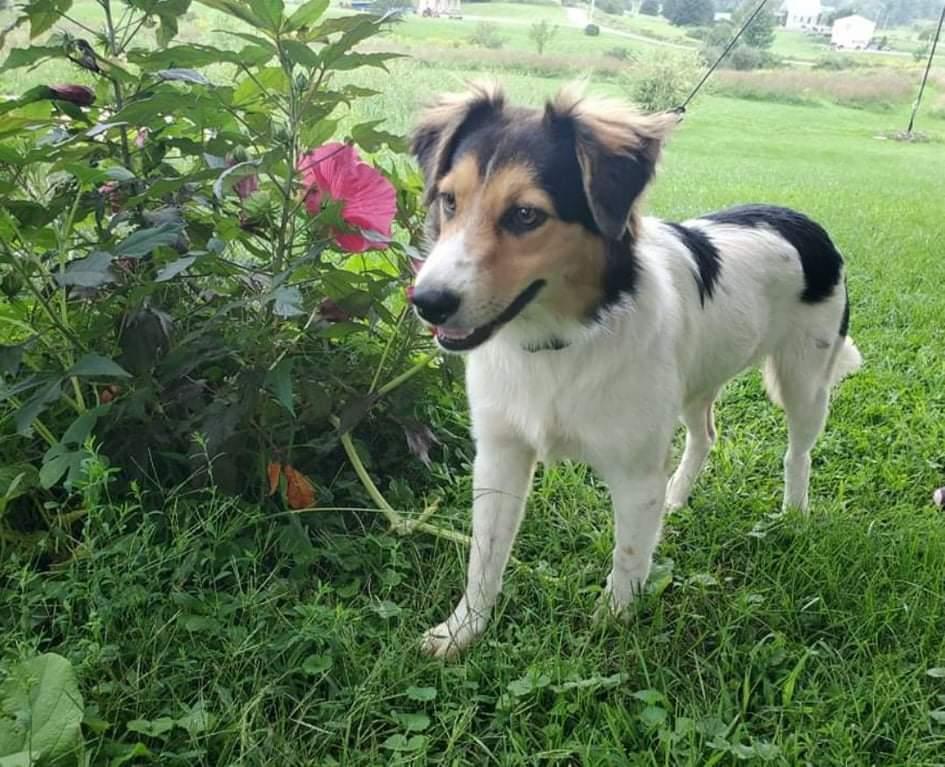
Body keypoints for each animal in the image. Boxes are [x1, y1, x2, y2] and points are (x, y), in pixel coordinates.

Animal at [406, 85, 864, 660]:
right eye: (449, 201)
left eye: (527, 215)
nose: (426, 302)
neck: (563, 339)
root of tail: (801, 219)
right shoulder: (500, 455)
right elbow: (484, 556)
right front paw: (463, 629)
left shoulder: (635, 472)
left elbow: (628, 558)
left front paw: (610, 627)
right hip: (696, 379)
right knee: (705, 434)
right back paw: (678, 496)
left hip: (803, 383)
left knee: (797, 452)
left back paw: (794, 514)